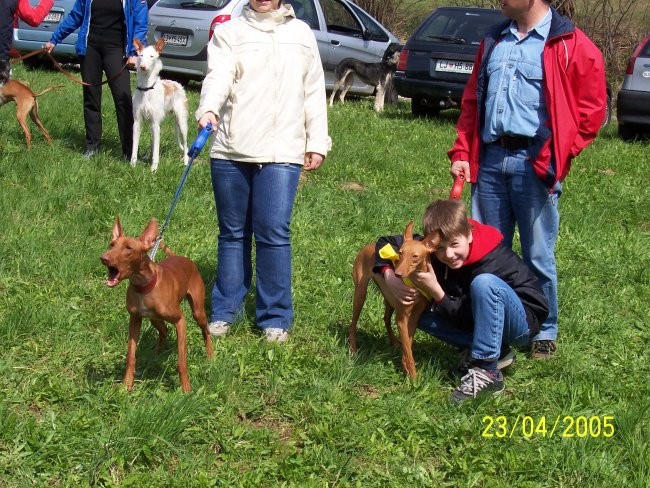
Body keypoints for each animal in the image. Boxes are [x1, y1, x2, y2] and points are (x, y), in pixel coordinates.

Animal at [100, 217, 213, 392]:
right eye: (111, 245)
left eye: (128, 248)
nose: (104, 258)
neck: (143, 285)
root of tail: (182, 257)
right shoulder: (134, 320)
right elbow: (131, 356)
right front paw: (127, 384)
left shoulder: (181, 321)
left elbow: (181, 361)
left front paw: (186, 388)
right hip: (154, 319)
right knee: (164, 331)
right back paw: (156, 354)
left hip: (198, 312)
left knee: (205, 330)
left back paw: (210, 355)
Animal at [131, 38, 187, 172]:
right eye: (141, 55)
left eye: (152, 56)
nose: (143, 67)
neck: (146, 88)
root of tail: (177, 83)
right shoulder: (137, 122)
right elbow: (134, 147)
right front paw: (132, 165)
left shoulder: (156, 123)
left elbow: (156, 151)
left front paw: (153, 169)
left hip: (181, 123)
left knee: (186, 144)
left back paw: (186, 161)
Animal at [346, 221, 438, 378]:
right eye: (400, 253)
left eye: (415, 256)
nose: (397, 274)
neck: (415, 284)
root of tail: (369, 245)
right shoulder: (402, 318)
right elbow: (408, 350)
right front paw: (414, 377)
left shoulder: (414, 316)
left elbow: (408, 344)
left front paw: (405, 366)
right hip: (360, 294)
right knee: (353, 325)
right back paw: (353, 349)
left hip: (389, 299)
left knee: (386, 319)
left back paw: (394, 342)